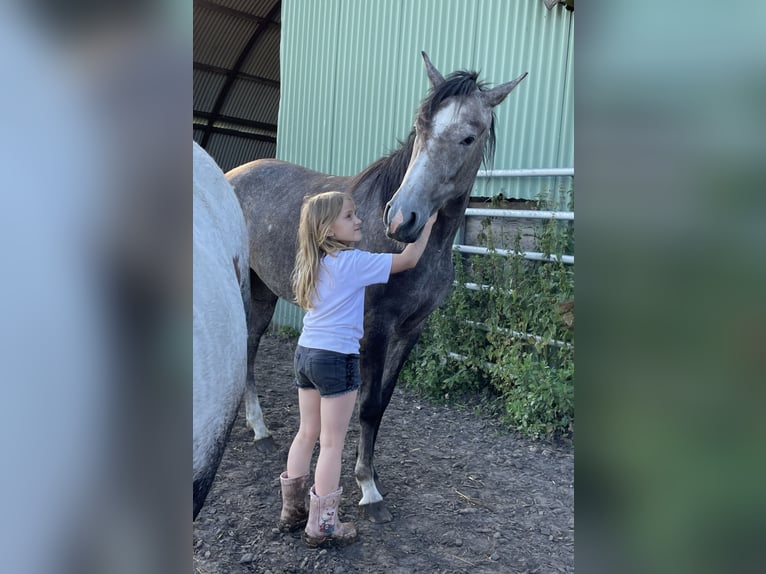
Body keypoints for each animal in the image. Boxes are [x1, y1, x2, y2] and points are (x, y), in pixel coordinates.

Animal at [228, 54, 528, 528]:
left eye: (468, 137)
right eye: (421, 126)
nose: (402, 218)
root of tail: (234, 174)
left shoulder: (412, 329)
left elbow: (382, 404)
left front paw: (371, 475)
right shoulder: (376, 327)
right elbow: (366, 404)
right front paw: (367, 487)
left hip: (264, 290)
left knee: (252, 342)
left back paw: (259, 427)